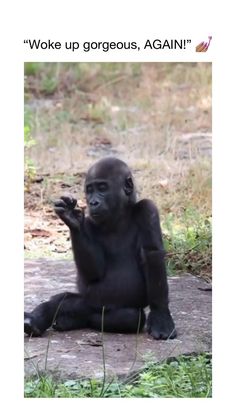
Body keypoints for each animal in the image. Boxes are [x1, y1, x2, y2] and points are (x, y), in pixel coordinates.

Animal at [24, 158, 177, 342]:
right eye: (89, 190)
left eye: (102, 188)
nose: (93, 202)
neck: (119, 216)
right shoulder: (89, 222)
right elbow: (94, 272)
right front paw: (72, 219)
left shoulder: (148, 210)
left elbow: (152, 253)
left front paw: (161, 316)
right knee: (73, 302)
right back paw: (40, 317)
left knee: (129, 317)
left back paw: (69, 320)